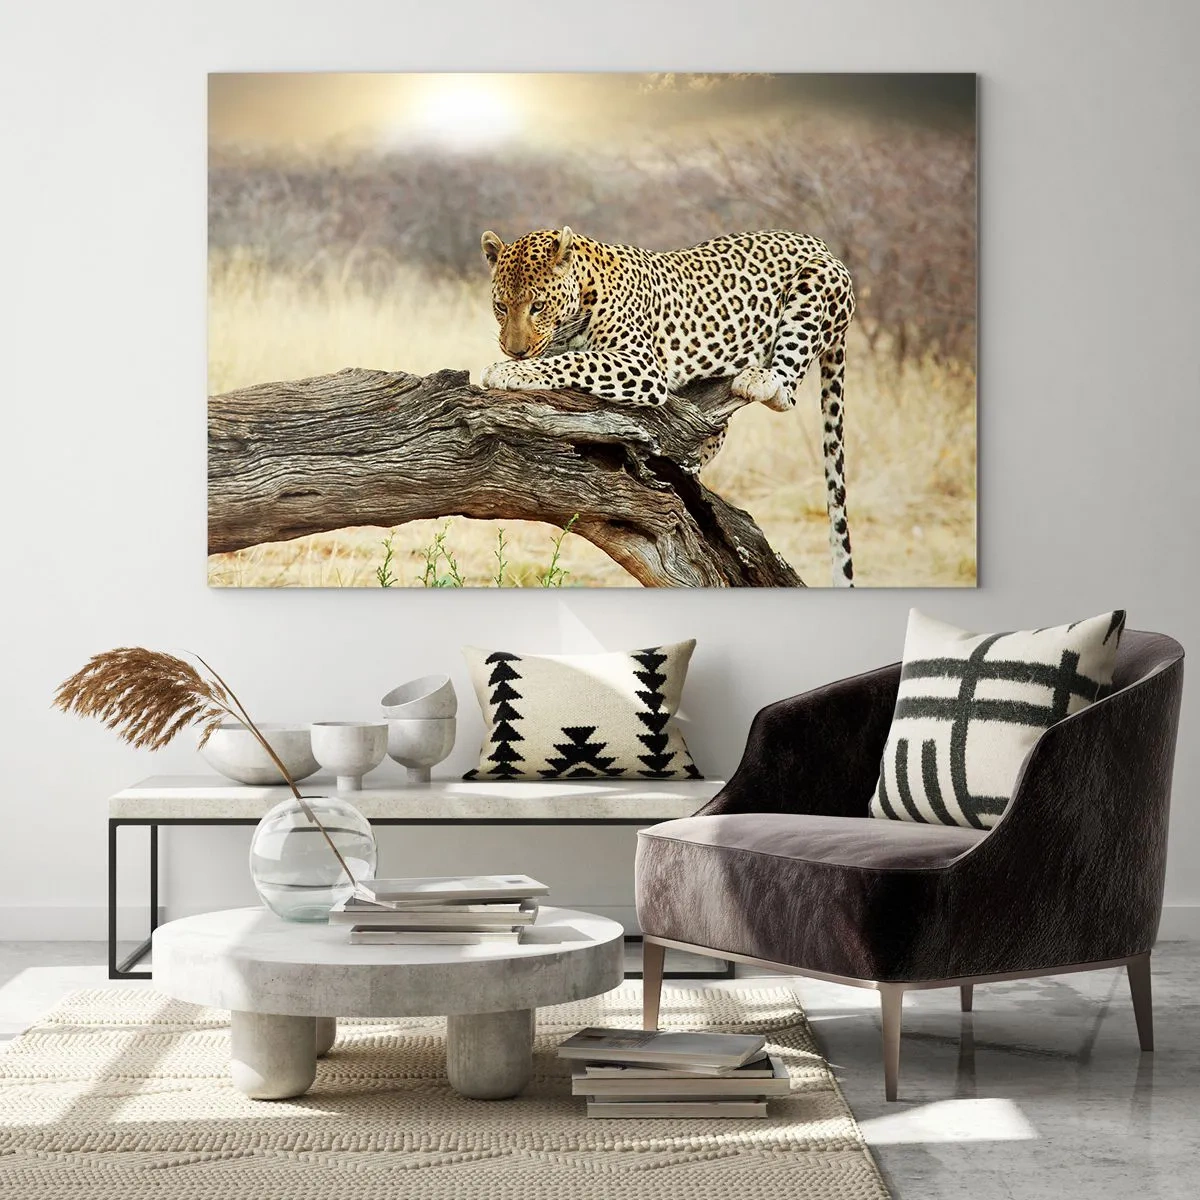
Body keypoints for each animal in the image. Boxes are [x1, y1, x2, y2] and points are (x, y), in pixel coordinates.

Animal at [480, 226, 856, 586]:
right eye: (500, 306)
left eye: (538, 306)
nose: (515, 351)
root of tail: (820, 243)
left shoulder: (641, 365)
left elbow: (575, 360)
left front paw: (508, 371)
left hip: (816, 283)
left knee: (786, 391)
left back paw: (759, 379)